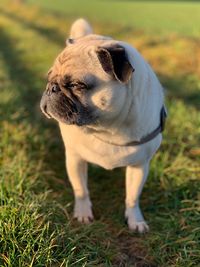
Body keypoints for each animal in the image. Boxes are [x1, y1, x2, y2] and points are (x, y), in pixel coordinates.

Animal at [40, 18, 166, 233]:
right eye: (49, 78)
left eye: (76, 85)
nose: (51, 88)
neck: (109, 127)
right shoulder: (75, 159)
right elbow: (81, 189)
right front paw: (83, 213)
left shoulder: (140, 166)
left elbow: (132, 197)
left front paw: (135, 220)